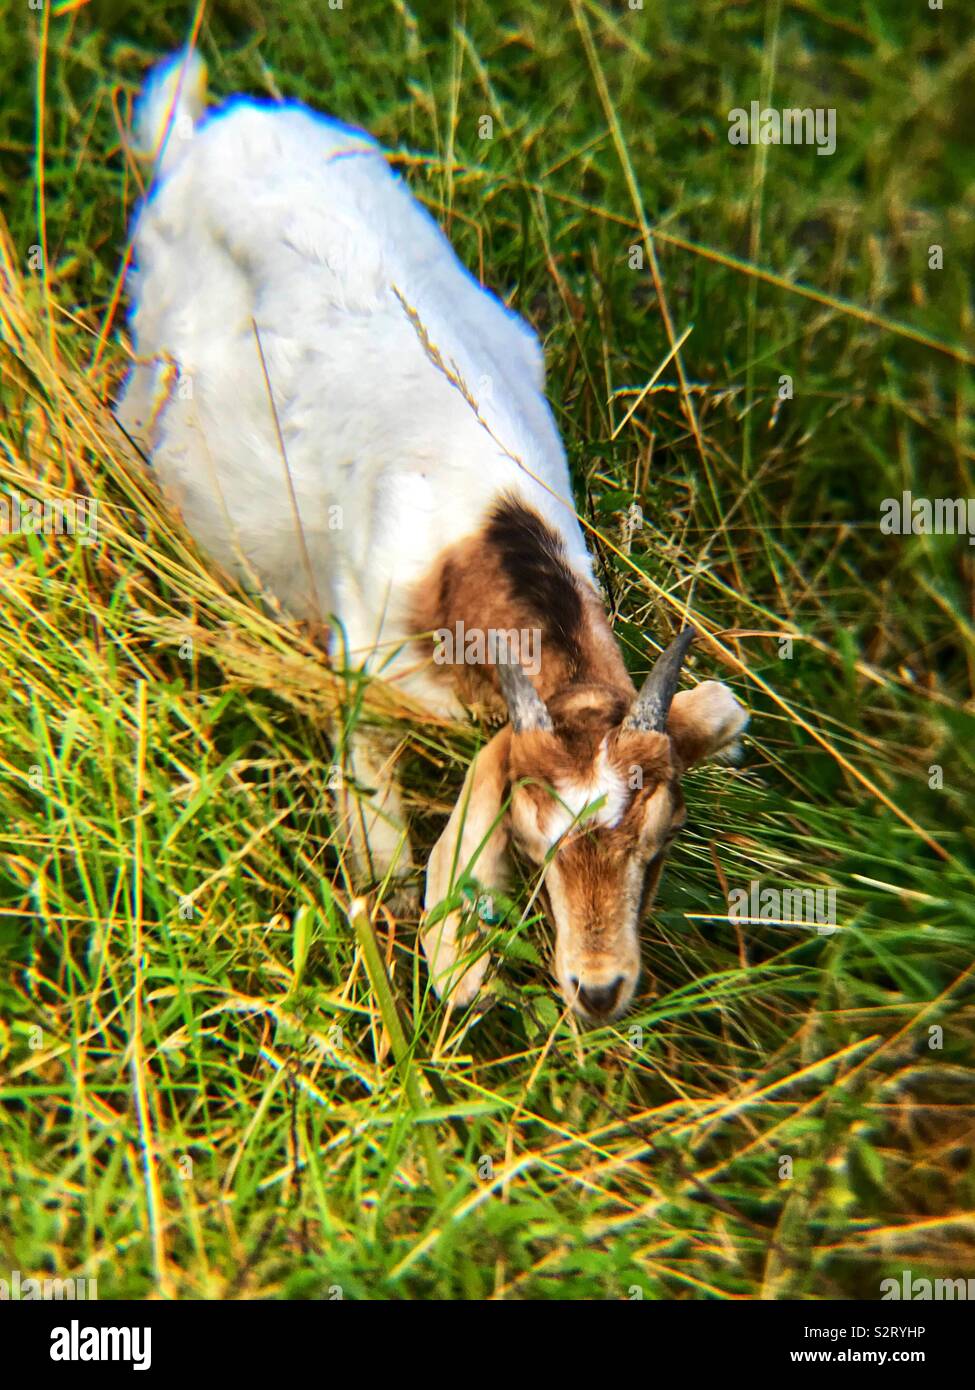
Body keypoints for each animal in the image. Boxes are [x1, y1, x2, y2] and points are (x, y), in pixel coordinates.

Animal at [119, 51, 745, 1023]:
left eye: (665, 834)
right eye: (531, 833)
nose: (599, 989)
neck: (475, 539)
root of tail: (201, 132)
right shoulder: (362, 666)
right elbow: (379, 851)